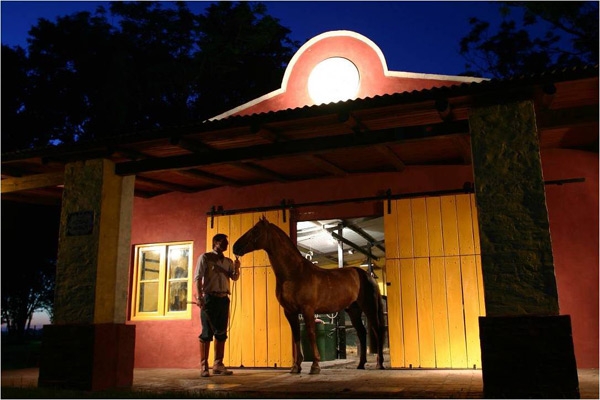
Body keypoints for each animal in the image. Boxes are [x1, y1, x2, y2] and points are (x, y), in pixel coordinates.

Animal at [232, 217, 386, 374]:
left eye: (255, 230)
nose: (235, 247)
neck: (294, 273)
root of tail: (368, 275)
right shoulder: (290, 312)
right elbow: (296, 335)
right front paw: (296, 366)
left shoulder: (307, 309)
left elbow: (311, 334)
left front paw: (315, 365)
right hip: (354, 310)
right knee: (361, 332)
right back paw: (361, 364)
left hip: (369, 308)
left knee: (377, 330)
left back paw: (379, 364)